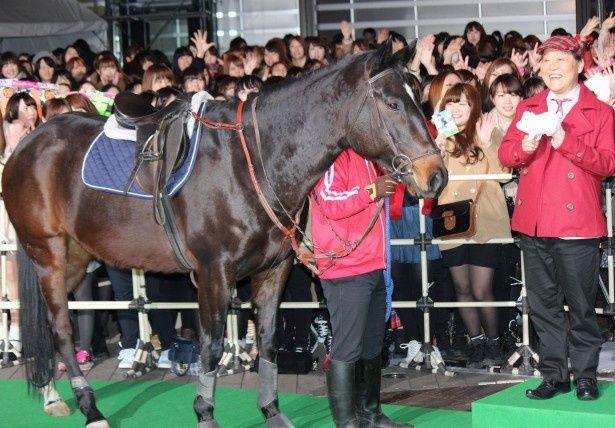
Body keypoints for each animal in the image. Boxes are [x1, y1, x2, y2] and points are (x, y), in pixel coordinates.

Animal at [1, 41, 448, 428]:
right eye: (392, 103)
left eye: (419, 99)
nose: (436, 176)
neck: (253, 162)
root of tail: (28, 144)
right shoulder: (213, 273)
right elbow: (212, 346)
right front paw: (205, 413)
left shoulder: (274, 270)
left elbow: (267, 340)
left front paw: (272, 411)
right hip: (48, 255)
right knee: (60, 326)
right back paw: (89, 408)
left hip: (76, 258)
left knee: (46, 322)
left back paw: (52, 396)